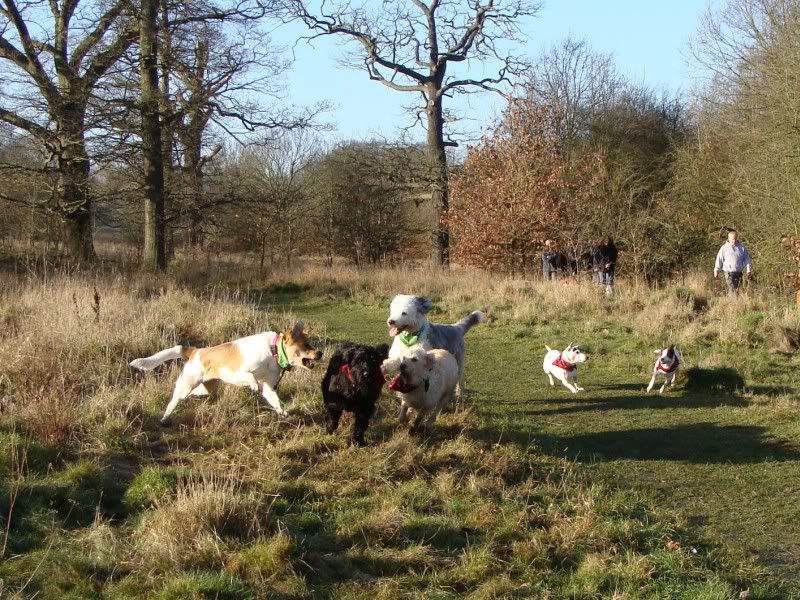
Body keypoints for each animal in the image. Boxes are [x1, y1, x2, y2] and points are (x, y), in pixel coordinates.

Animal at [128, 322, 322, 424]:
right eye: (306, 344)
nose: (320, 353)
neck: (273, 350)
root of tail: (194, 351)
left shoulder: (268, 386)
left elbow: (274, 400)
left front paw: (282, 413)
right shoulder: (238, 372)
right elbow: (250, 376)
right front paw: (252, 385)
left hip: (207, 388)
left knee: (195, 393)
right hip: (187, 385)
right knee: (175, 399)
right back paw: (165, 417)